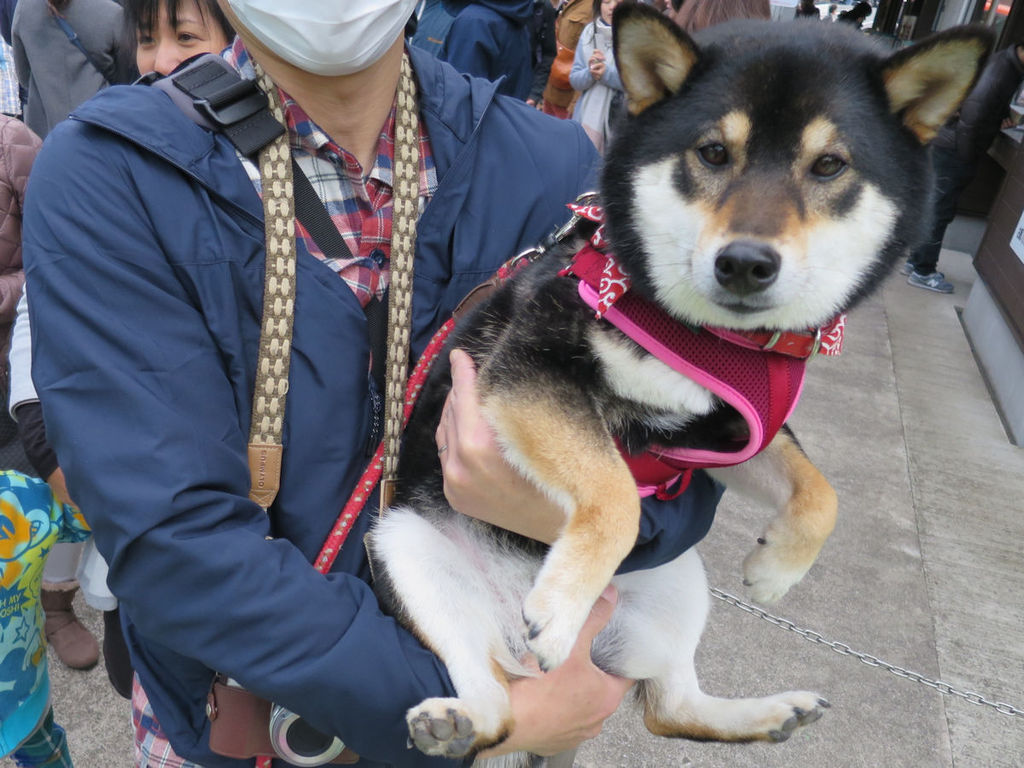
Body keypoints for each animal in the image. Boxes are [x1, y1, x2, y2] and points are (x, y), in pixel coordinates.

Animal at [366, 6, 991, 765]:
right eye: (713, 154)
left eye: (829, 166)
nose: (745, 262)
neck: (709, 338)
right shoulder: (529, 371)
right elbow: (614, 494)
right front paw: (562, 606)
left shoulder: (730, 429)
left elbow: (820, 491)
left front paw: (779, 569)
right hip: (403, 545)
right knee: (497, 701)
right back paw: (461, 715)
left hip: (675, 579)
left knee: (668, 706)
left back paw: (772, 713)